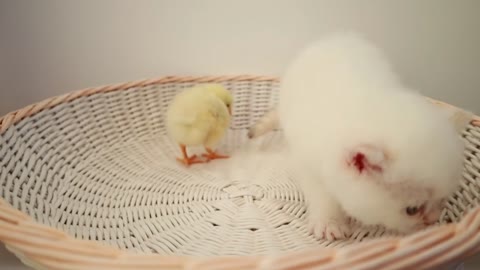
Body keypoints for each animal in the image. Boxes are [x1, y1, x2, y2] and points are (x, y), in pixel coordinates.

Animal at [251, 31, 464, 240]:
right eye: (412, 210)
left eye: (443, 198)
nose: (433, 220)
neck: (363, 111)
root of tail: (332, 37)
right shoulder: (306, 162)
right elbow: (321, 194)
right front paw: (329, 222)